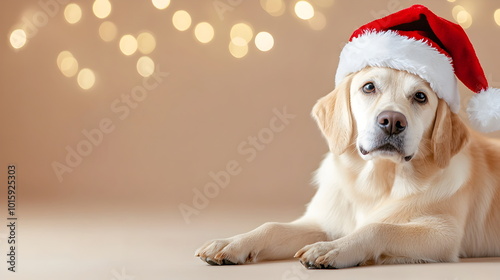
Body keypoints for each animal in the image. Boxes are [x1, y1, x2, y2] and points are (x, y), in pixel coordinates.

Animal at [194, 66, 500, 268]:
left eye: (421, 97)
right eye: (369, 87)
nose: (392, 121)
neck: (379, 181)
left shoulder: (442, 234)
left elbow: (377, 228)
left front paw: (334, 249)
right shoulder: (323, 221)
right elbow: (272, 227)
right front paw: (232, 243)